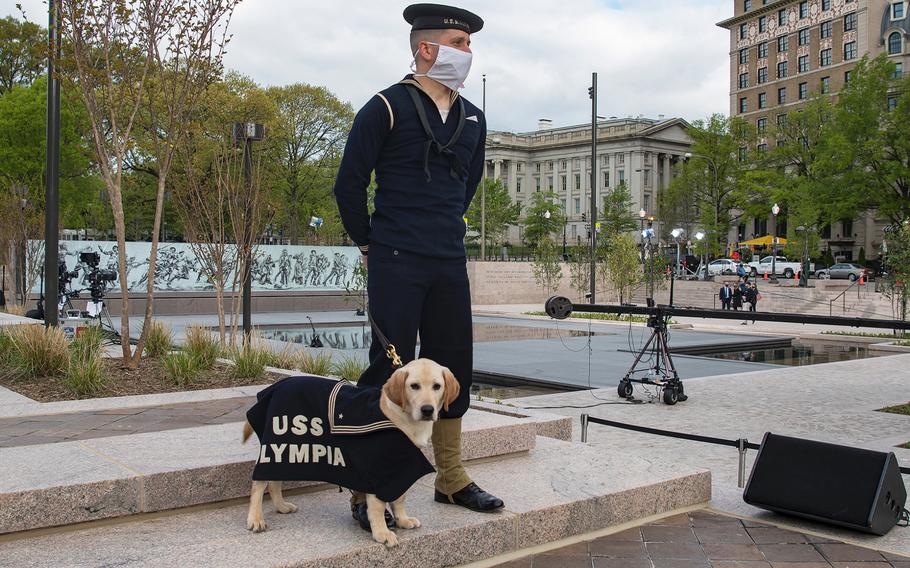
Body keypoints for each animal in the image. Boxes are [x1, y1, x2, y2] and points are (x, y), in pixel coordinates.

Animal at [240, 358, 460, 548]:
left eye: (437, 386)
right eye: (414, 386)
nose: (427, 410)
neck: (399, 418)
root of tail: (276, 387)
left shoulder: (400, 465)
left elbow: (399, 497)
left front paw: (402, 519)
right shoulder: (379, 468)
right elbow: (378, 506)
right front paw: (382, 533)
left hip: (287, 452)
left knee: (274, 481)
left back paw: (281, 506)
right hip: (277, 445)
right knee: (259, 484)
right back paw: (256, 518)